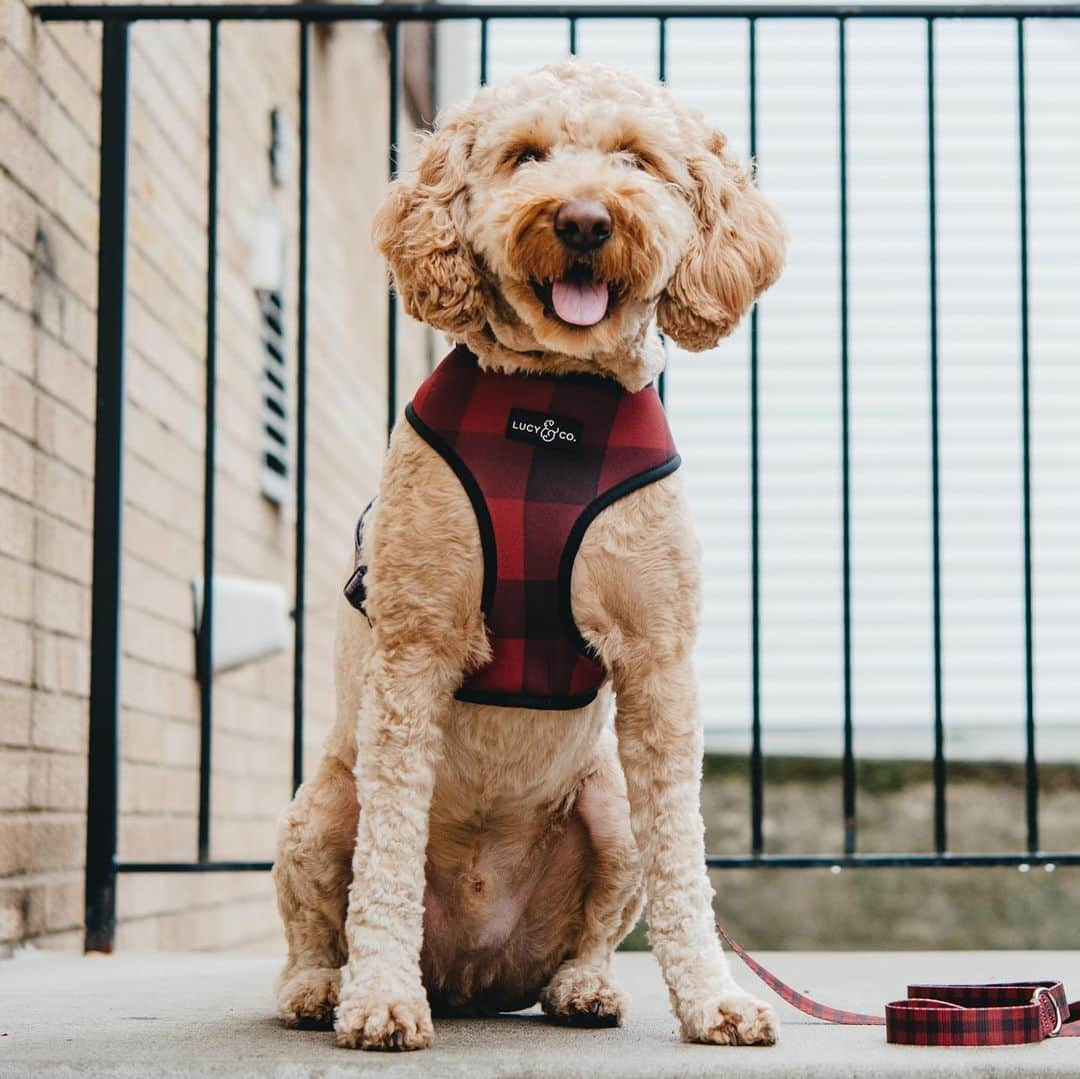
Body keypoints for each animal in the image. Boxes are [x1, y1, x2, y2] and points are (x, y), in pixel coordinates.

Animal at [274, 54, 786, 1049]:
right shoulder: (414, 648)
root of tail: (471, 972)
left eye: (634, 158)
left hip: (609, 808)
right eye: (525, 155)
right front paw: (379, 998)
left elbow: (683, 861)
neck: (553, 401)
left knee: (590, 933)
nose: (584, 219)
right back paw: (323, 986)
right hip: (320, 806)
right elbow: (386, 856)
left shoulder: (660, 666)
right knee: (319, 916)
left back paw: (584, 987)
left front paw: (713, 999)